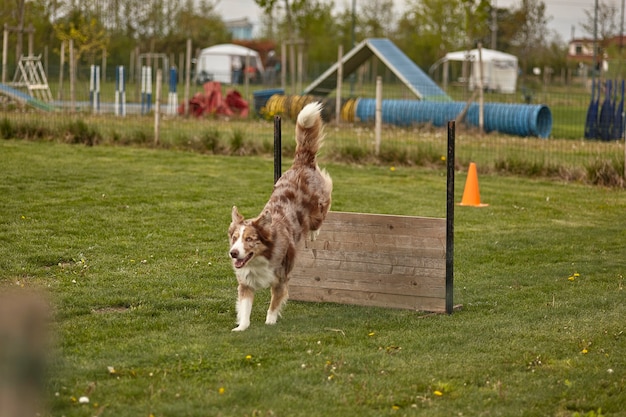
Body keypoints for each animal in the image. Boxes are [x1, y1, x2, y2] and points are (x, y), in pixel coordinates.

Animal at [225, 102, 332, 330]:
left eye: (250, 239)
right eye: (235, 238)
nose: (233, 253)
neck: (259, 259)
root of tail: (301, 163)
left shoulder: (282, 280)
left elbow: (274, 304)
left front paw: (269, 323)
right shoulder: (246, 283)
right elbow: (245, 308)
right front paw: (241, 328)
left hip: (319, 207)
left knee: (322, 212)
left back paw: (313, 233)